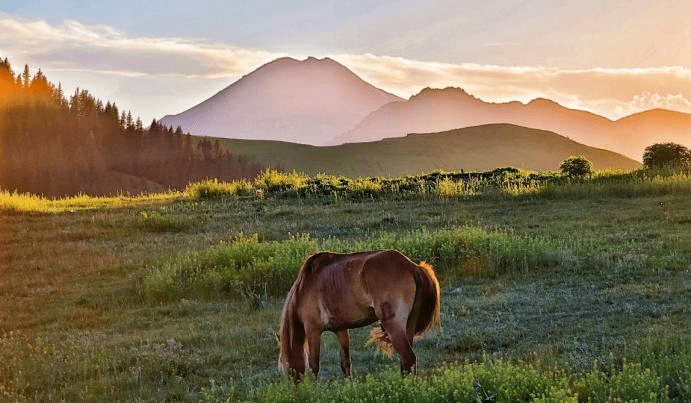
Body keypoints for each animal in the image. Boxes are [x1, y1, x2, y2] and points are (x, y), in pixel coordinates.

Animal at [278, 249, 440, 378]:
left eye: (288, 370)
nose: (298, 392)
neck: (304, 289)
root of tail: (412, 267)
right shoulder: (340, 329)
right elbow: (345, 363)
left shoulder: (313, 330)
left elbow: (314, 367)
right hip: (409, 326)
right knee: (406, 362)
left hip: (394, 325)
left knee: (408, 358)